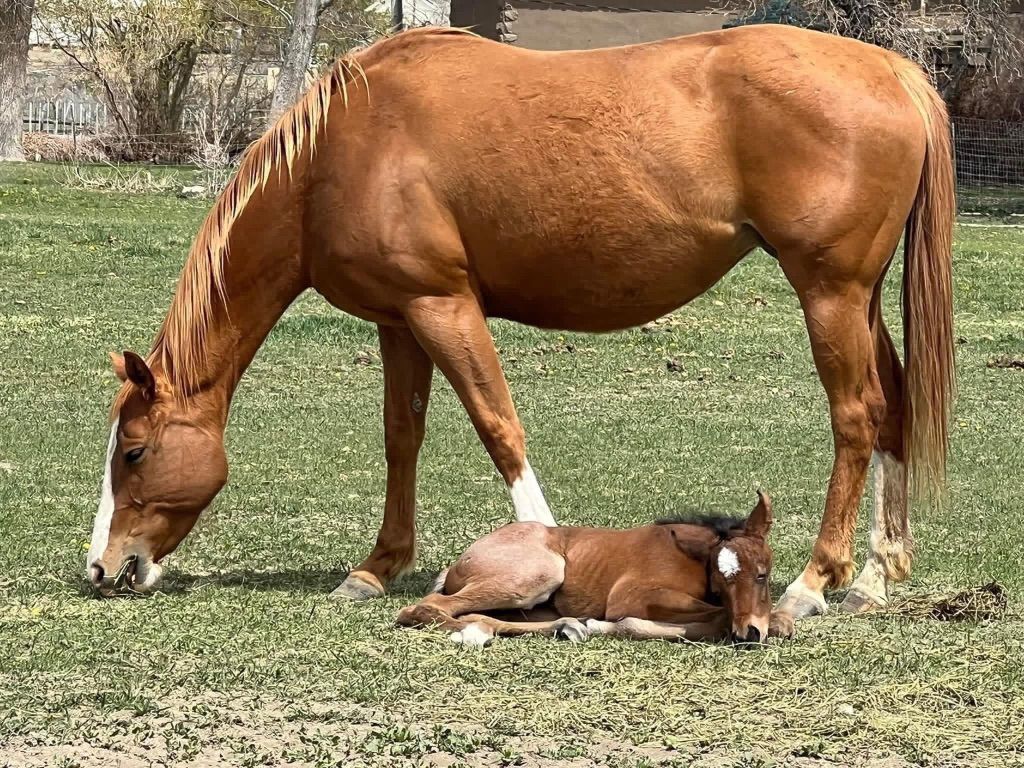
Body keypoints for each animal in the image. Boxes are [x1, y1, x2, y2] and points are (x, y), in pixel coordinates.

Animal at [86, 24, 955, 622]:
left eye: (134, 452)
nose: (103, 567)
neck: (337, 153)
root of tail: (892, 69)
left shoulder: (442, 305)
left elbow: (497, 424)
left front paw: (543, 557)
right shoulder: (398, 321)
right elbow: (402, 439)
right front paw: (375, 567)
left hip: (829, 292)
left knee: (856, 417)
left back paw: (815, 580)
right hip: (858, 298)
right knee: (892, 410)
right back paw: (877, 573)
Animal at [397, 492, 791, 646]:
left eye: (762, 574)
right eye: (721, 581)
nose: (748, 634)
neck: (691, 555)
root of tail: (456, 564)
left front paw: (777, 621)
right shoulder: (628, 595)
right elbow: (714, 616)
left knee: (481, 615)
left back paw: (568, 627)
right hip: (538, 574)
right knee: (426, 609)